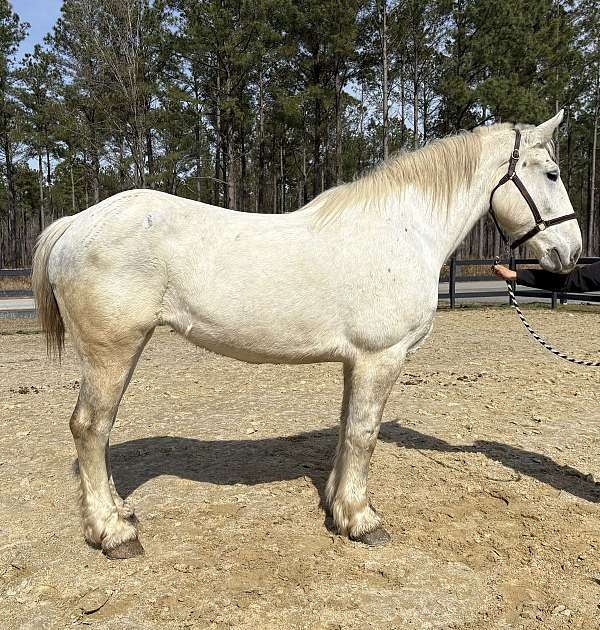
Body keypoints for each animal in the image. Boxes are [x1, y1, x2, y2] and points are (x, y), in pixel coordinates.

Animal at [31, 111, 580, 560]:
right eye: (551, 174)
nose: (570, 254)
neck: (401, 231)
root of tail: (75, 224)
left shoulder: (356, 361)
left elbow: (346, 428)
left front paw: (338, 507)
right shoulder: (381, 357)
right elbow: (364, 433)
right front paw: (362, 521)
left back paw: (120, 512)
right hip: (112, 351)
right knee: (90, 429)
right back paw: (113, 534)